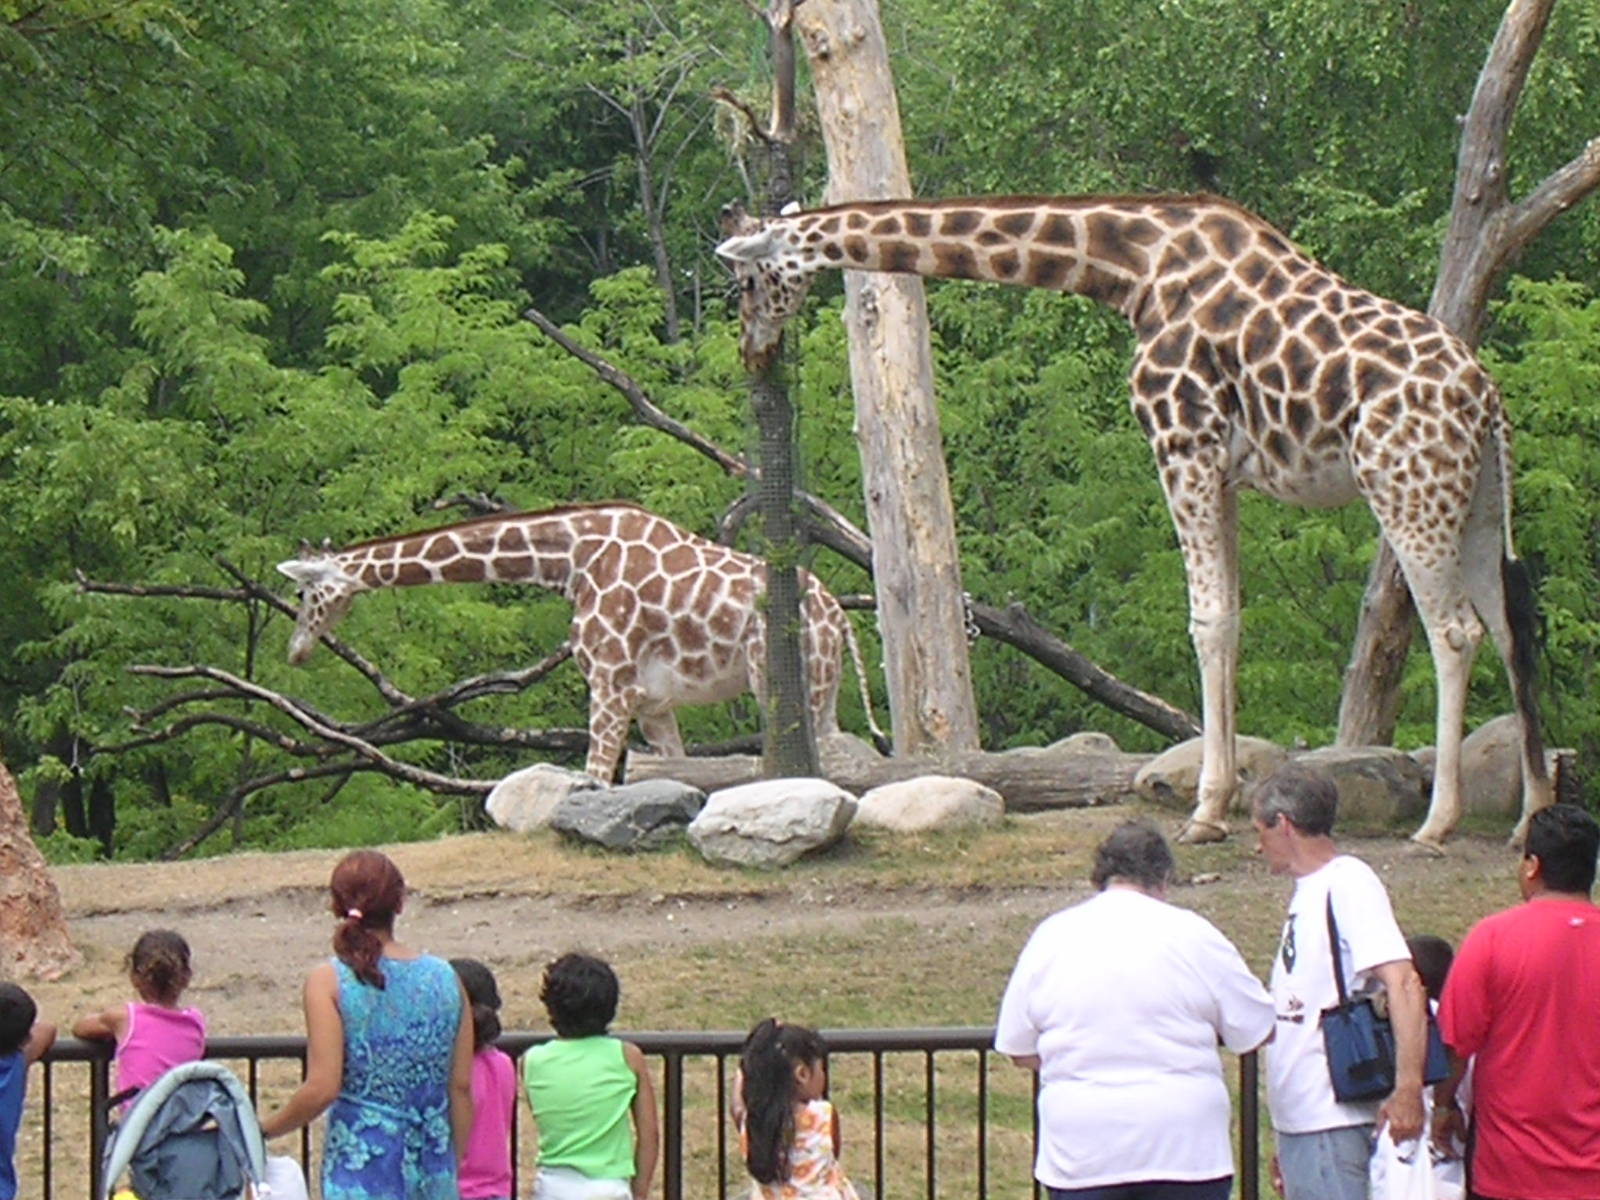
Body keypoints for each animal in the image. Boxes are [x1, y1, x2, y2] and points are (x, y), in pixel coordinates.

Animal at [276, 501, 887, 782]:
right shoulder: (651, 703)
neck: (569, 560)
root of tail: (839, 616)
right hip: (823, 687)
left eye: (305, 593)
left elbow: (593, 778)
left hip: (782, 685)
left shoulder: (610, 684)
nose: (295, 651)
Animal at [716, 193, 1552, 847]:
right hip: (1476, 500)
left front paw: (1206, 813)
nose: (752, 350)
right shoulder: (1221, 466)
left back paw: (1438, 822)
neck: (1130, 267)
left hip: (1406, 487)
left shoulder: (1180, 441)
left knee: (1456, 631)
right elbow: (1230, 619)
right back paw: (1531, 816)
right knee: (1510, 626)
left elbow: (1207, 622)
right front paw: (1219, 801)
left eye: (748, 277)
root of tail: (1487, 399)